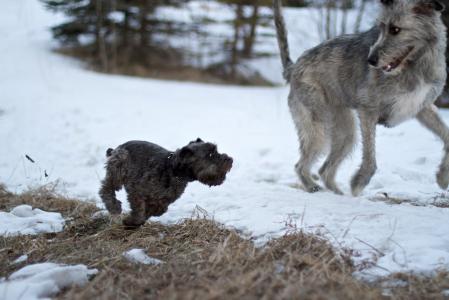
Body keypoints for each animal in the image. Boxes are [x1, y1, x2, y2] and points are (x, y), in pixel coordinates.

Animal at [99, 139, 233, 227]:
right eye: (210, 154)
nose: (230, 159)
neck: (173, 170)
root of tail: (117, 148)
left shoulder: (164, 199)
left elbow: (159, 209)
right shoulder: (136, 191)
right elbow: (139, 209)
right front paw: (132, 222)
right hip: (118, 170)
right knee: (105, 189)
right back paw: (114, 206)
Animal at [272, 0, 448, 196]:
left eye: (395, 29)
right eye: (380, 27)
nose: (371, 60)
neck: (414, 65)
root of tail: (294, 67)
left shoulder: (422, 107)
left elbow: (446, 136)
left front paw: (442, 176)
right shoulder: (368, 110)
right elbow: (370, 156)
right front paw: (359, 182)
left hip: (344, 132)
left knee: (325, 169)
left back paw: (337, 194)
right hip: (317, 124)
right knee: (301, 165)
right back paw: (312, 186)